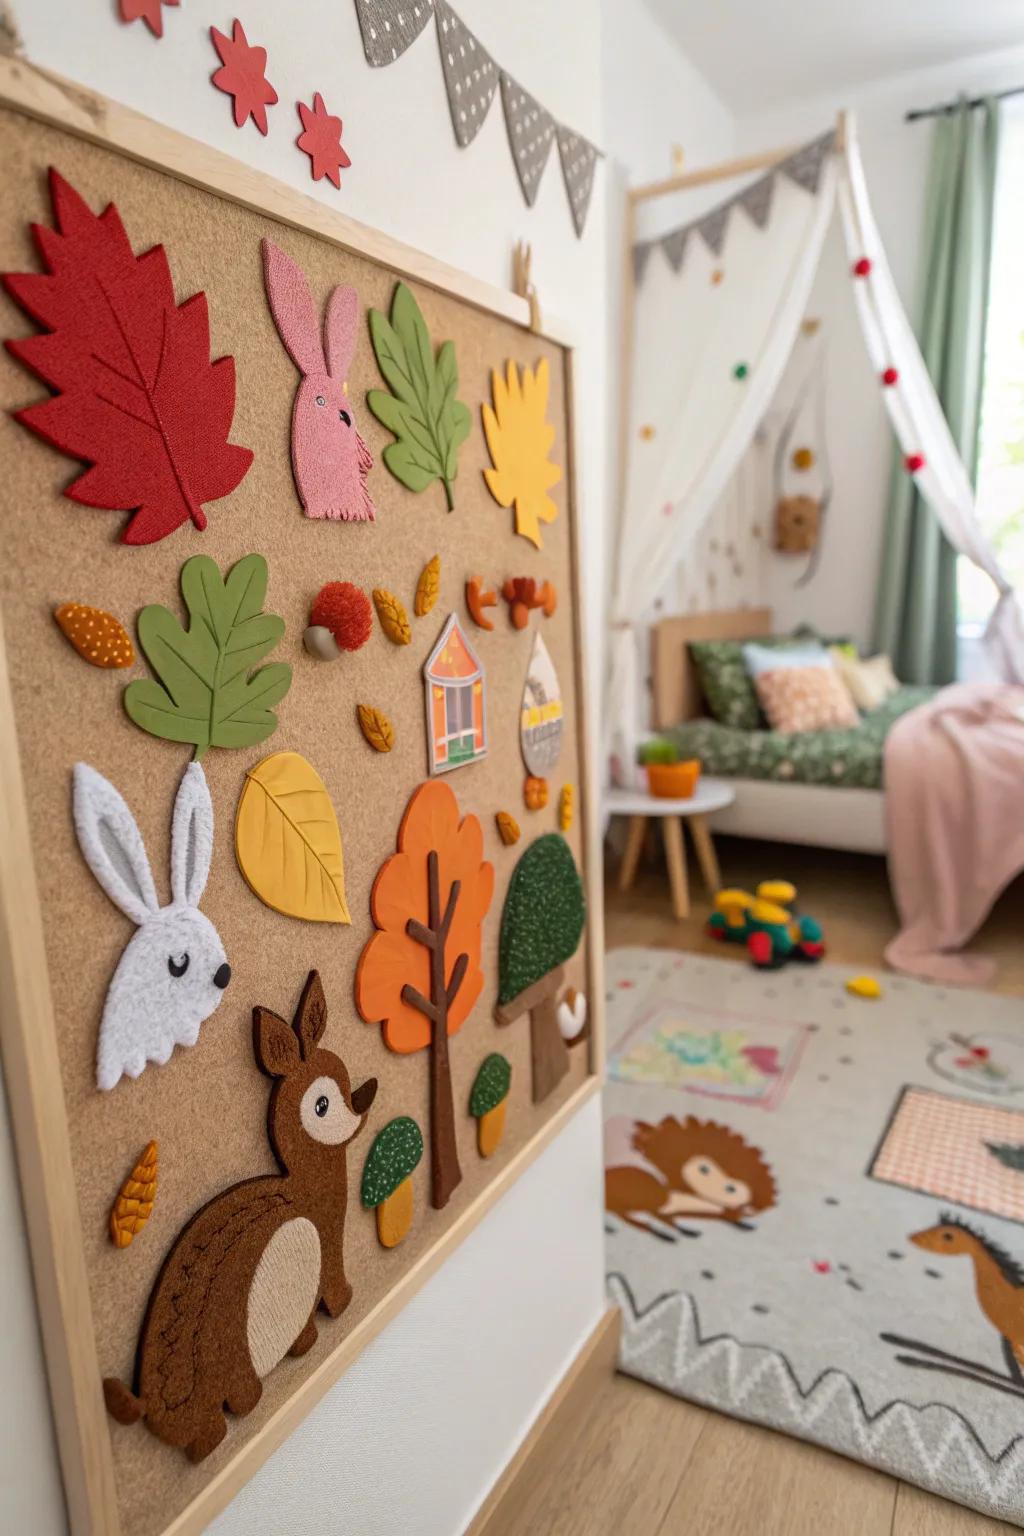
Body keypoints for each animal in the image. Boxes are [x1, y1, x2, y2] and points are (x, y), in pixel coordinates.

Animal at [102, 970, 376, 1462]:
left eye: (345, 1079)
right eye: (321, 1105)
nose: (364, 1107)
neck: (303, 1189)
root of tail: (147, 1396)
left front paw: (307, 1340)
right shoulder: (327, 1246)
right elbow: (332, 1281)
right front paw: (342, 1303)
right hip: (228, 1359)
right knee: (225, 1408)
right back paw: (243, 1407)